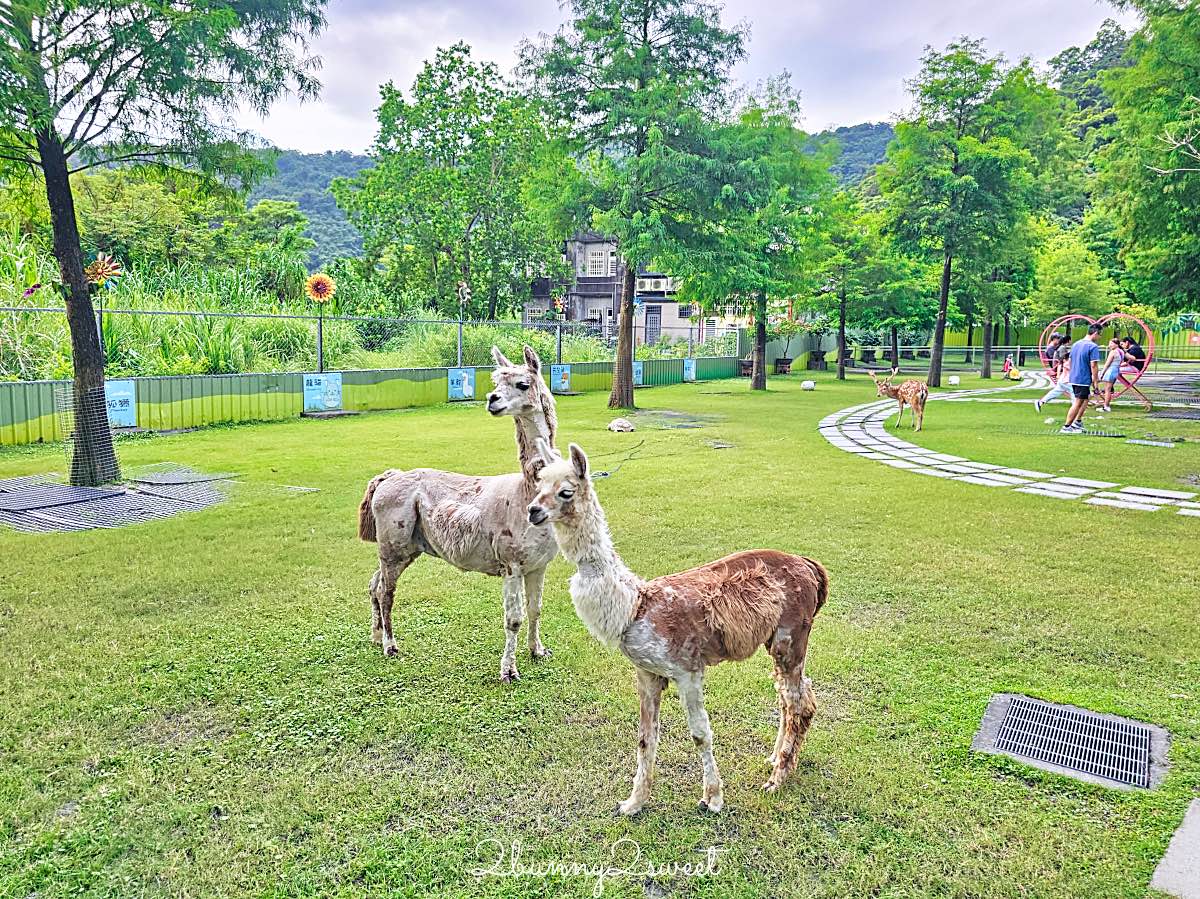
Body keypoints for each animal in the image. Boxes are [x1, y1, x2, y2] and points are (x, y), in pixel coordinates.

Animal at [358, 346, 559, 683]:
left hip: (406, 546)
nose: (492, 400)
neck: (526, 494)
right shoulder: (512, 563)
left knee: (375, 584)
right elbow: (513, 619)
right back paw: (390, 645)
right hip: (393, 540)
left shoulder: (538, 564)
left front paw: (538, 651)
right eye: (495, 382)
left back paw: (375, 637)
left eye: (522, 384)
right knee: (386, 591)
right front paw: (509, 671)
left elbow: (536, 609)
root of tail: (388, 477)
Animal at [527, 440, 828, 815]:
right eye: (538, 485)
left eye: (565, 491)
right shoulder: (646, 672)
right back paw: (776, 760)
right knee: (794, 697)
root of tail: (810, 566)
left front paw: (712, 799)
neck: (635, 604)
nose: (533, 511)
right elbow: (645, 737)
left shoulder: (687, 668)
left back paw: (777, 779)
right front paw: (633, 803)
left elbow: (700, 733)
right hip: (779, 641)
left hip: (791, 635)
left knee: (798, 701)